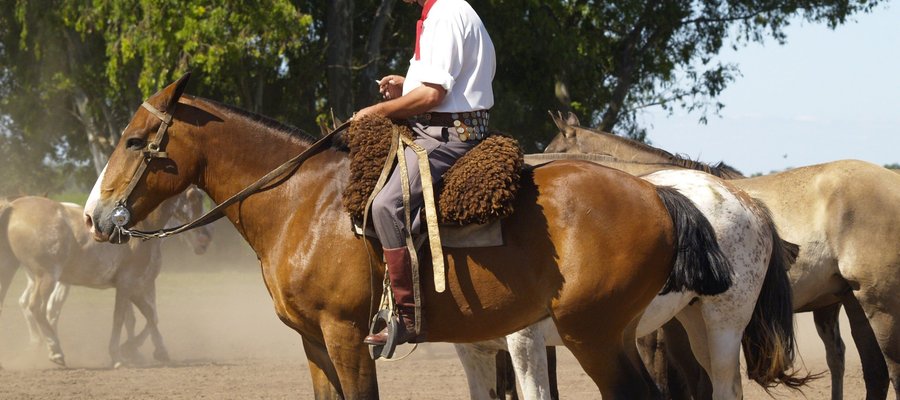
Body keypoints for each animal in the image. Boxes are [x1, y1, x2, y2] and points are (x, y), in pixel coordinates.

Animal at [0, 188, 210, 368]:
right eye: (194, 198)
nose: (205, 239)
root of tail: (14, 207)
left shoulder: (134, 286)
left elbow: (148, 315)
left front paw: (156, 351)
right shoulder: (129, 283)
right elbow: (122, 318)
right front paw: (119, 355)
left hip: (12, 271)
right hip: (47, 276)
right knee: (36, 307)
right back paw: (55, 350)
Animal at [458, 170, 808, 400]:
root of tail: (747, 199)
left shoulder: (526, 345)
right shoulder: (475, 353)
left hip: (725, 323)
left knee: (726, 386)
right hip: (695, 322)